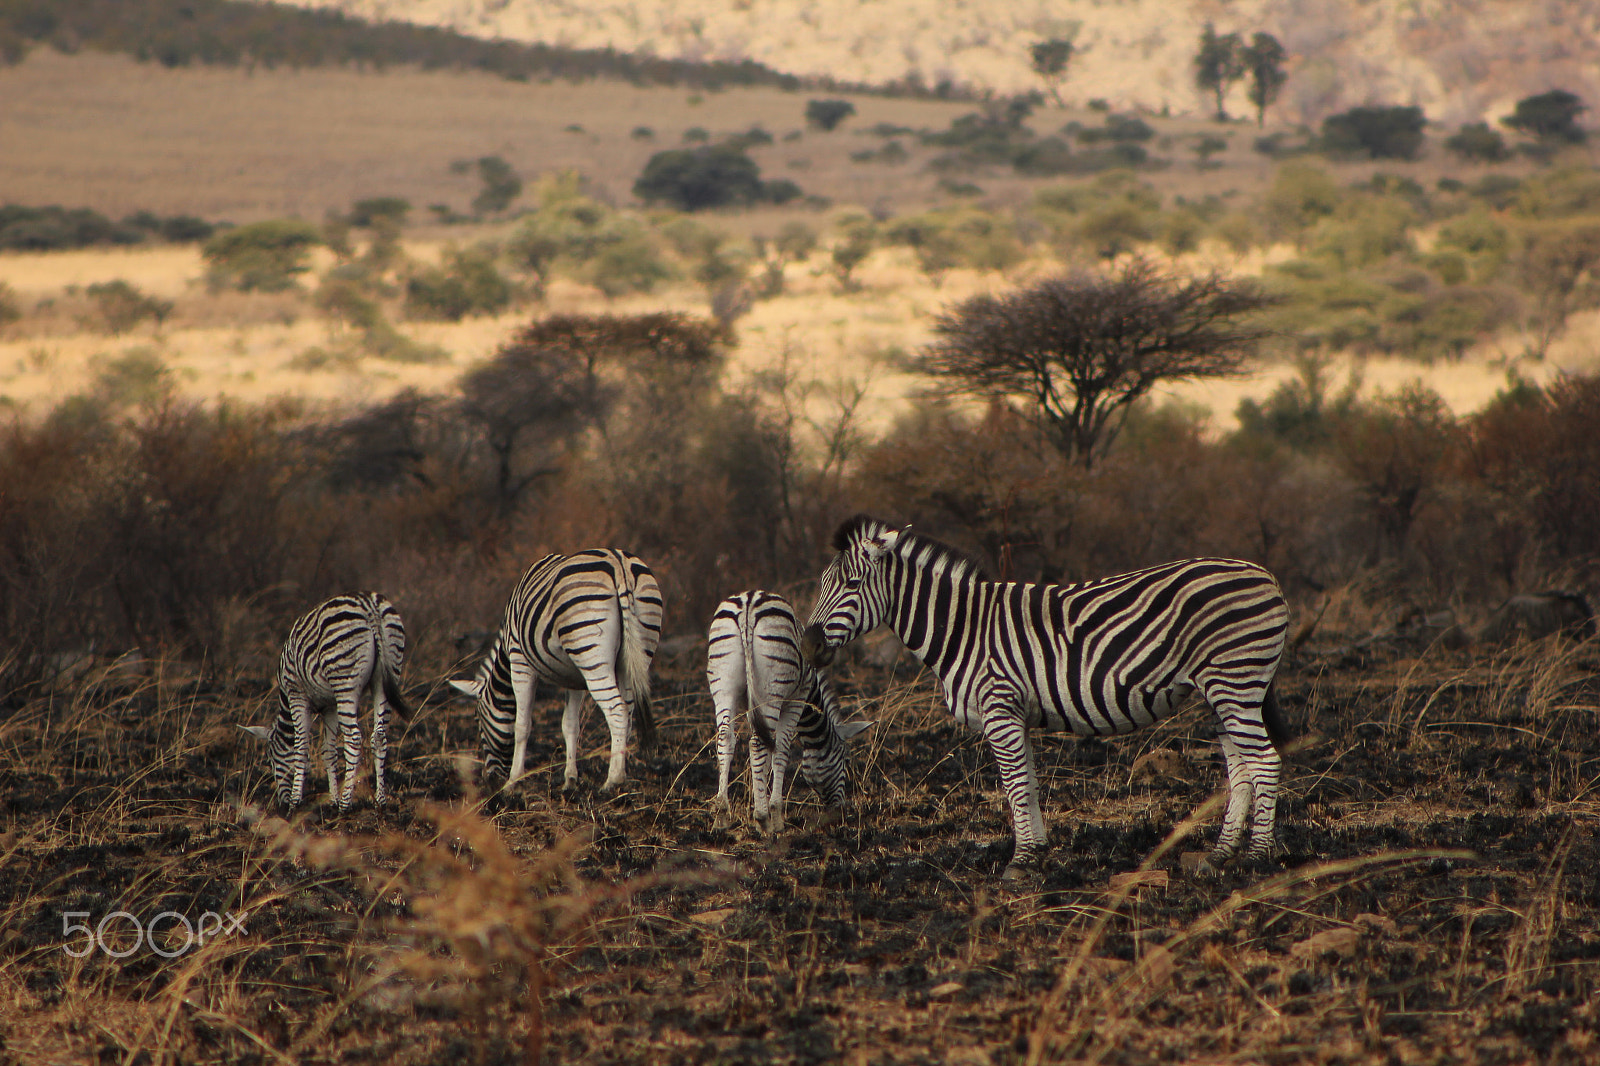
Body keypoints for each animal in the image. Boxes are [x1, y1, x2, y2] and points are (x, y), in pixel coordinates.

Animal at [241, 592, 410, 811]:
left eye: (271, 761)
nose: (281, 803)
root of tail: (370, 606)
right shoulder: (330, 706)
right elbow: (328, 751)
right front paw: (332, 799)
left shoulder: (297, 695)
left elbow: (301, 746)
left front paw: (296, 801)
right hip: (386, 676)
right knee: (379, 737)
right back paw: (380, 802)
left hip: (344, 680)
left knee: (354, 738)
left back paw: (345, 805)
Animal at [450, 549, 662, 791]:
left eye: (478, 721)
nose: (489, 779)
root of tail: (619, 564)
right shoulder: (575, 678)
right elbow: (570, 725)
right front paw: (570, 780)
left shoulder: (520, 660)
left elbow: (522, 725)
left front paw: (513, 782)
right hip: (635, 651)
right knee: (628, 710)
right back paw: (622, 775)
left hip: (590, 651)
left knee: (617, 710)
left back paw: (612, 780)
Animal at [707, 590, 873, 833]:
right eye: (845, 759)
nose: (839, 812)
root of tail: (748, 602)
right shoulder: (796, 699)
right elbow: (781, 748)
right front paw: (774, 814)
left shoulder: (752, 706)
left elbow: (765, 753)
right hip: (772, 687)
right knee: (758, 743)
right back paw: (763, 819)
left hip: (723, 682)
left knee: (725, 739)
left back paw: (721, 816)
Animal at [800, 515, 1291, 880]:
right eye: (821, 583)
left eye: (853, 584)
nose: (808, 644)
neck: (964, 628)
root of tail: (1266, 575)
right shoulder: (1015, 713)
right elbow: (1029, 784)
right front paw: (1036, 851)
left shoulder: (999, 706)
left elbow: (1015, 785)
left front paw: (1019, 862)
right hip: (1219, 690)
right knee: (1240, 769)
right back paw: (1220, 855)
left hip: (1235, 681)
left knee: (1264, 761)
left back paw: (1256, 857)